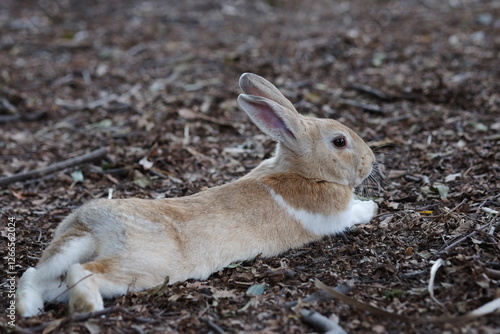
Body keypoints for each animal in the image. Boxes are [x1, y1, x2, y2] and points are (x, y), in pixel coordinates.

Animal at [15, 72, 376, 316]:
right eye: (340, 142)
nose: (371, 160)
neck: (302, 171)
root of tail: (88, 225)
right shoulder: (334, 216)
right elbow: (353, 213)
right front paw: (371, 207)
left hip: (63, 265)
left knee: (34, 276)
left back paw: (27, 311)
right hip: (139, 267)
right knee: (84, 273)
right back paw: (89, 307)